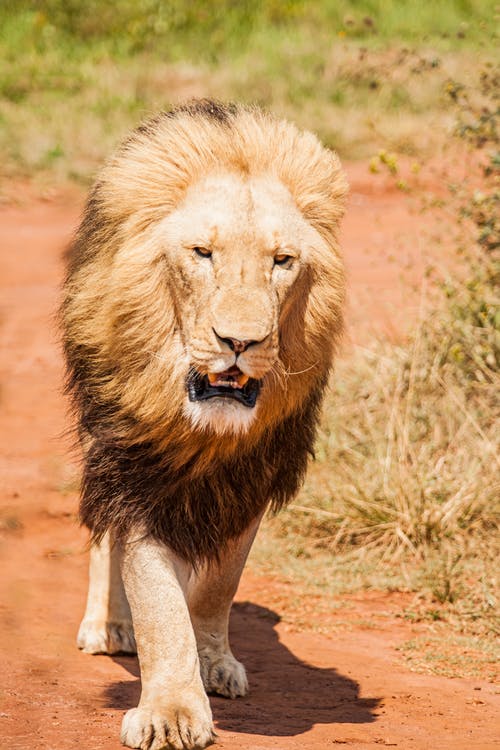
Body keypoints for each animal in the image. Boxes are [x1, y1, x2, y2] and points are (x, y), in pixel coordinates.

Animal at [60, 101, 346, 750]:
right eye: (202, 253)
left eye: (282, 261)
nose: (240, 342)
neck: (208, 434)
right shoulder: (136, 471)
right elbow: (157, 600)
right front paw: (170, 712)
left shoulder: (253, 477)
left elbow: (219, 586)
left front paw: (212, 662)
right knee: (102, 538)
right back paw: (107, 625)